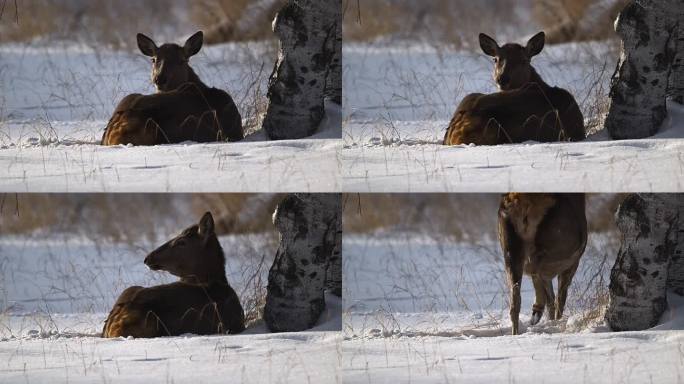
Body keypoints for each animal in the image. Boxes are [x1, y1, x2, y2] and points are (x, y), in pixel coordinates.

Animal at [496, 194, 588, 334]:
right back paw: (537, 312)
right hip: (556, 242)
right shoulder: (572, 261)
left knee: (515, 300)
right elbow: (559, 298)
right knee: (538, 272)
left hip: (509, 248)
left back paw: (518, 329)